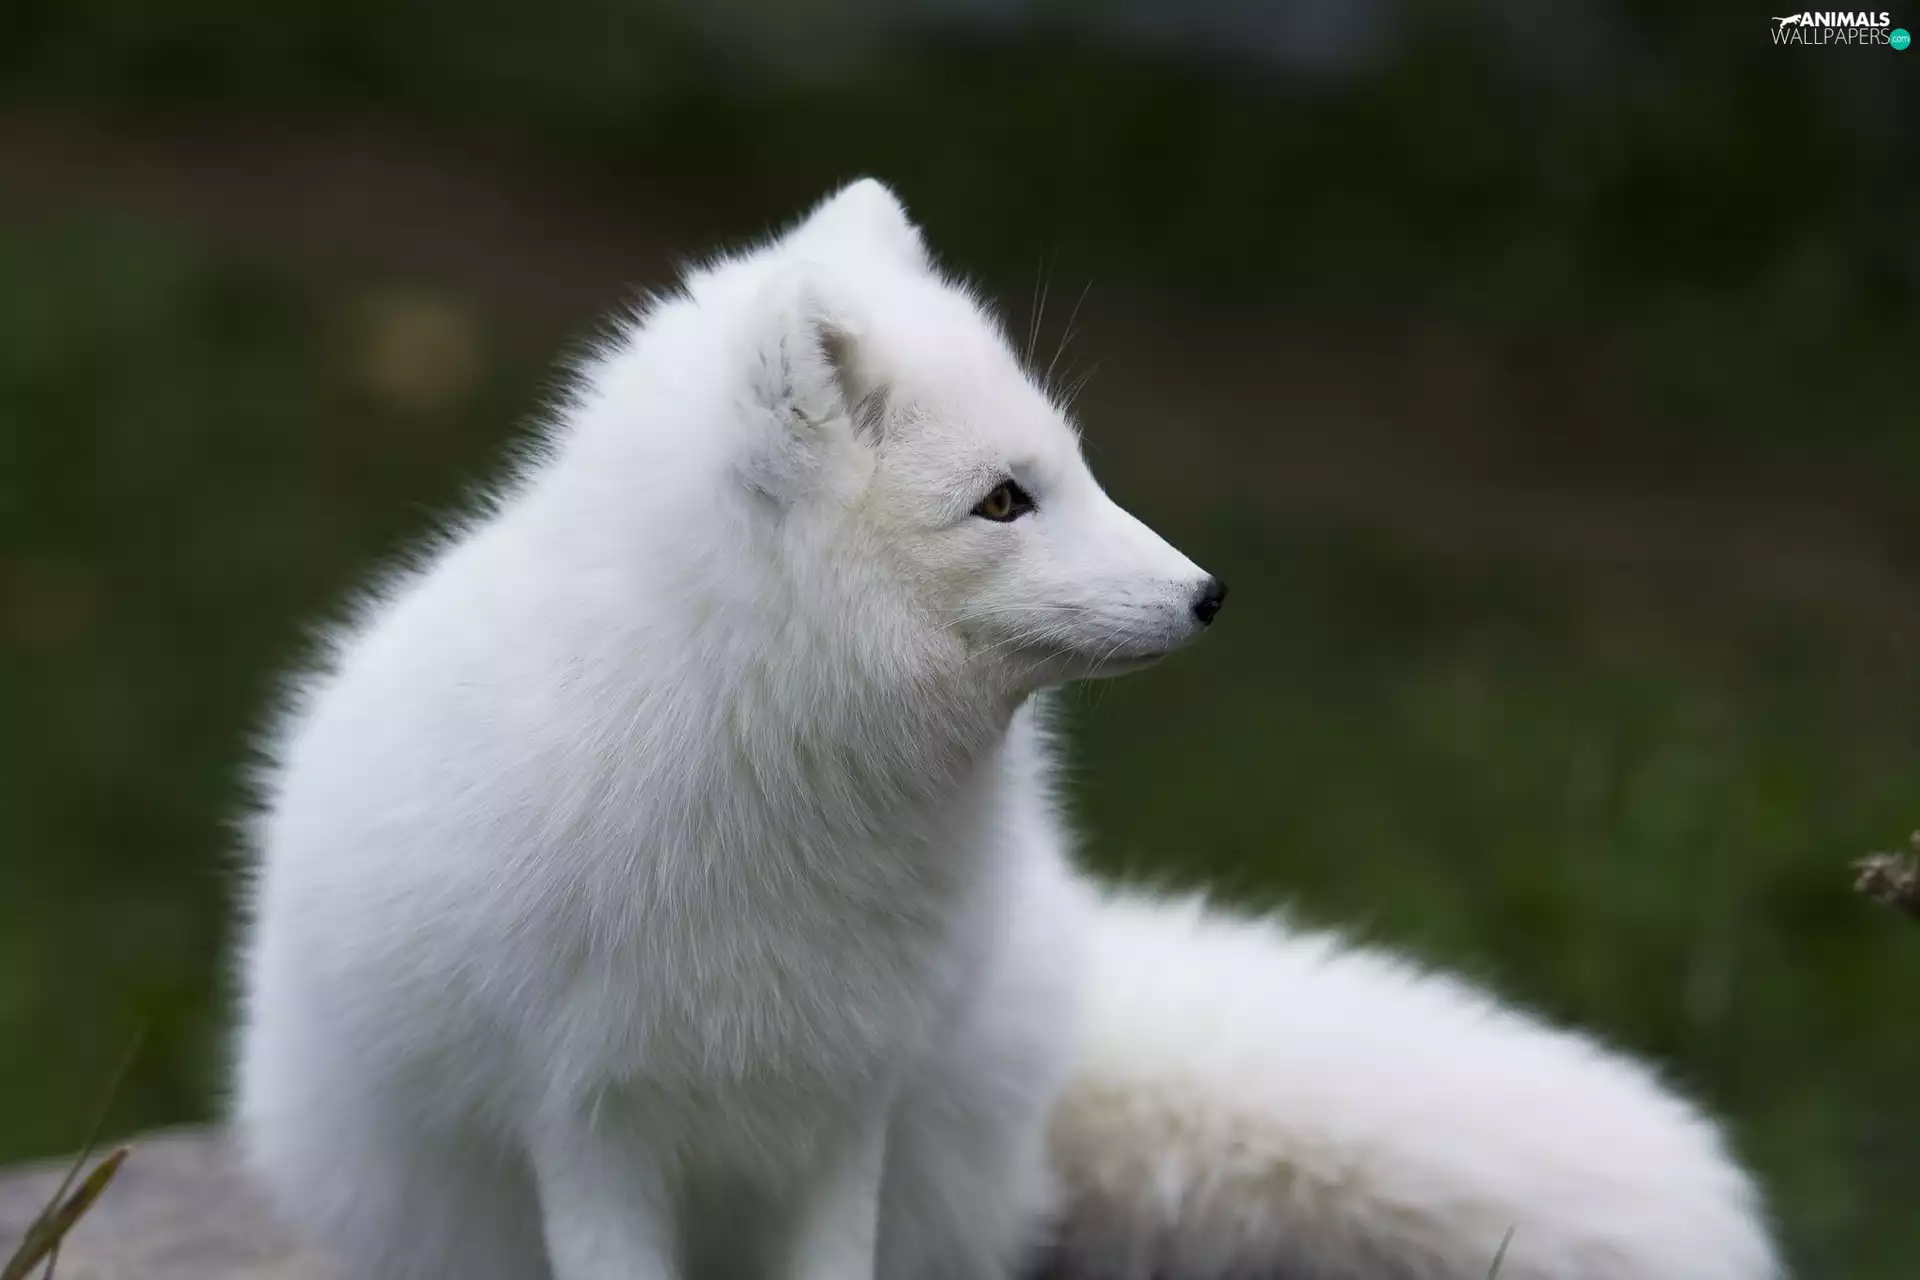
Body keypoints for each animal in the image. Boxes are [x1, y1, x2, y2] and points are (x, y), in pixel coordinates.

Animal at [234, 178, 1780, 1280]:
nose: (1209, 593)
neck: (777, 780)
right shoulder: (590, 1117)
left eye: (1075, 468)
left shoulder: (846, 1099)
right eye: (1001, 500)